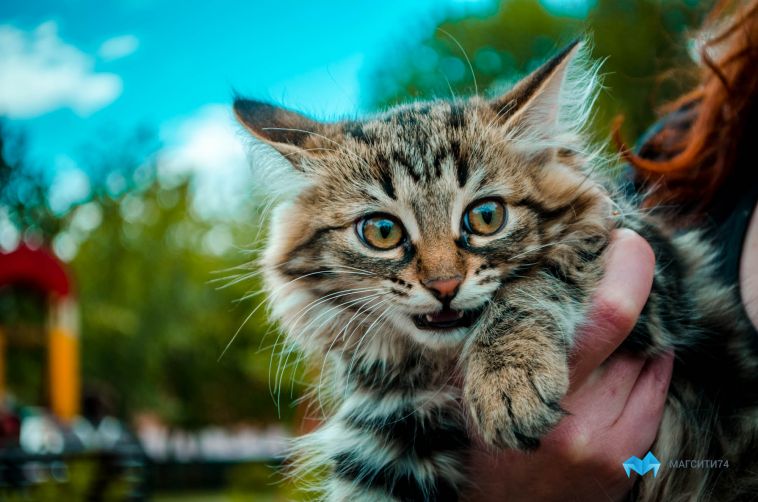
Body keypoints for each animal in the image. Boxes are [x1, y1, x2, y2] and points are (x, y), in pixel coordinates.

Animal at [235, 41, 756, 500]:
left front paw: (508, 379)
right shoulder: (385, 439)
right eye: (382, 231)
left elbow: (535, 278)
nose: (444, 285)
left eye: (486, 217)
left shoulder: (660, 274)